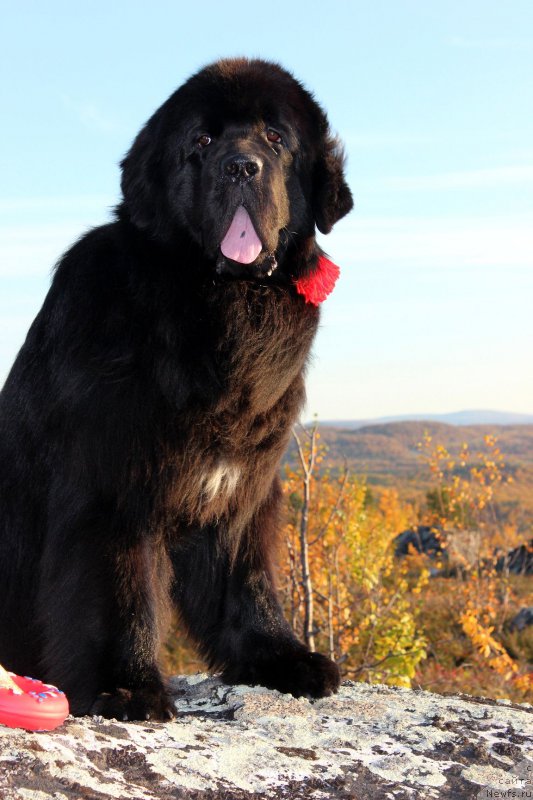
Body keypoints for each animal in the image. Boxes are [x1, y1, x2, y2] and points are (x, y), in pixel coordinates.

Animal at [0, 56, 354, 720]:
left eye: (276, 138)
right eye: (203, 140)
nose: (241, 166)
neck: (223, 305)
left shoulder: (243, 490)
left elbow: (248, 581)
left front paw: (279, 656)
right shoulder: (115, 489)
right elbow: (121, 593)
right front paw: (128, 686)